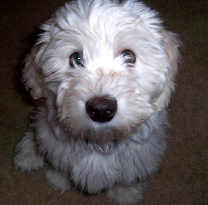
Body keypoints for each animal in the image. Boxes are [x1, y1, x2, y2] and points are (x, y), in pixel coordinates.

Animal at [13, 0, 180, 204]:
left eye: (128, 56)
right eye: (76, 58)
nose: (101, 109)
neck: (100, 142)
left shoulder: (140, 156)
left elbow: (130, 177)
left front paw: (127, 194)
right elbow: (58, 164)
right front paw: (57, 179)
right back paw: (27, 155)